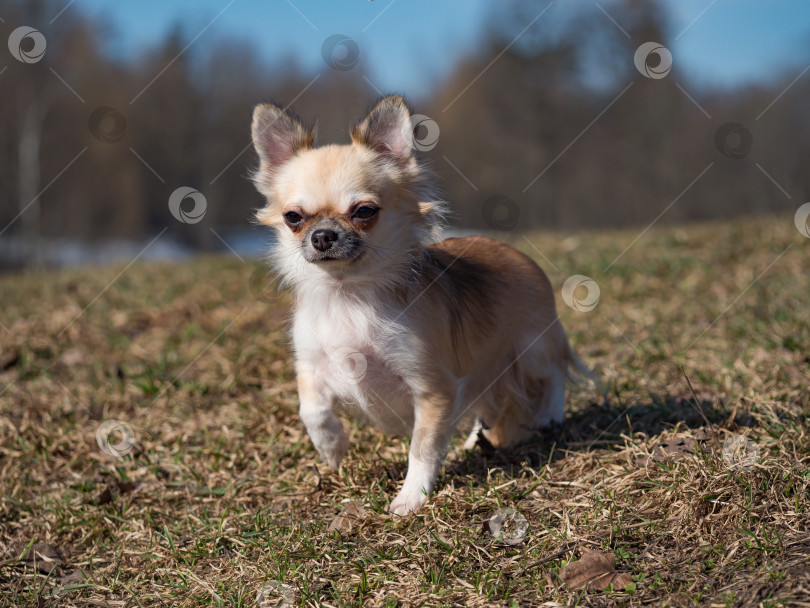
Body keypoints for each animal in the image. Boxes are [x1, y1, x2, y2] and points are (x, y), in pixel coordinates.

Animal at [249, 97, 592, 516]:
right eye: (293, 217)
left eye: (364, 211)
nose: (323, 236)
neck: (349, 293)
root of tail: (518, 255)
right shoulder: (312, 364)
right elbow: (311, 409)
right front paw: (332, 448)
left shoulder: (433, 388)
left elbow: (423, 447)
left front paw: (411, 497)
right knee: (490, 404)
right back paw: (476, 440)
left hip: (531, 348)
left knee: (554, 371)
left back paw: (549, 415)